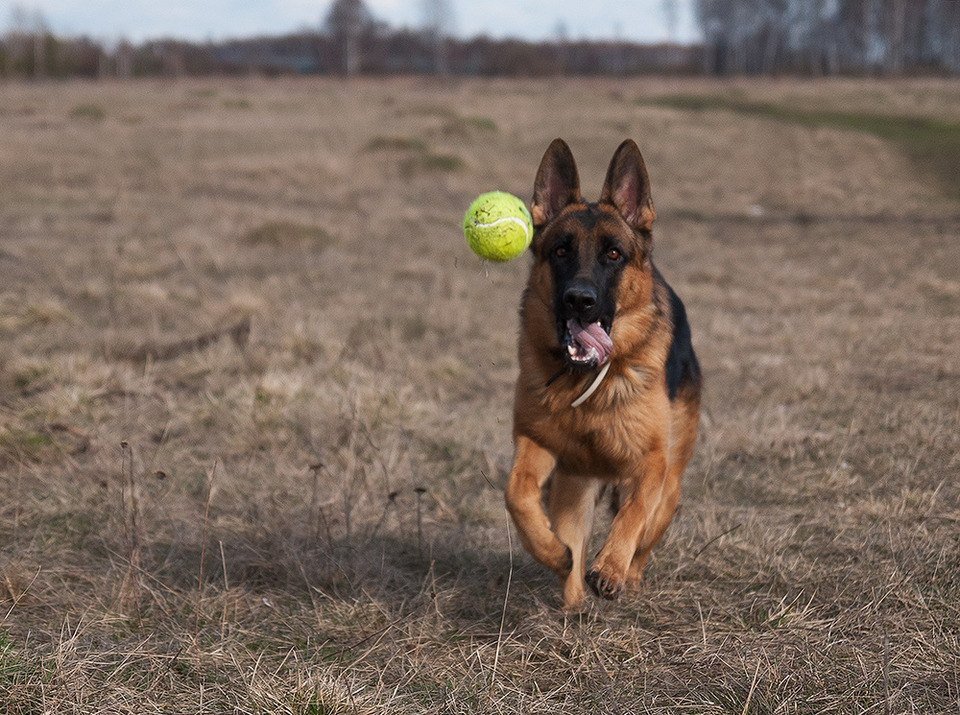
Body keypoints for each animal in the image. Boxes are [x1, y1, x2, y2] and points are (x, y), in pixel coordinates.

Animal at [506, 140, 700, 608]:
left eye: (614, 254)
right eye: (561, 251)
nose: (580, 300)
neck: (588, 388)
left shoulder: (650, 463)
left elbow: (632, 514)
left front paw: (610, 567)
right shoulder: (535, 442)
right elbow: (517, 494)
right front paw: (552, 551)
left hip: (670, 487)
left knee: (646, 533)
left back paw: (625, 577)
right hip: (574, 489)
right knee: (572, 543)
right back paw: (573, 601)